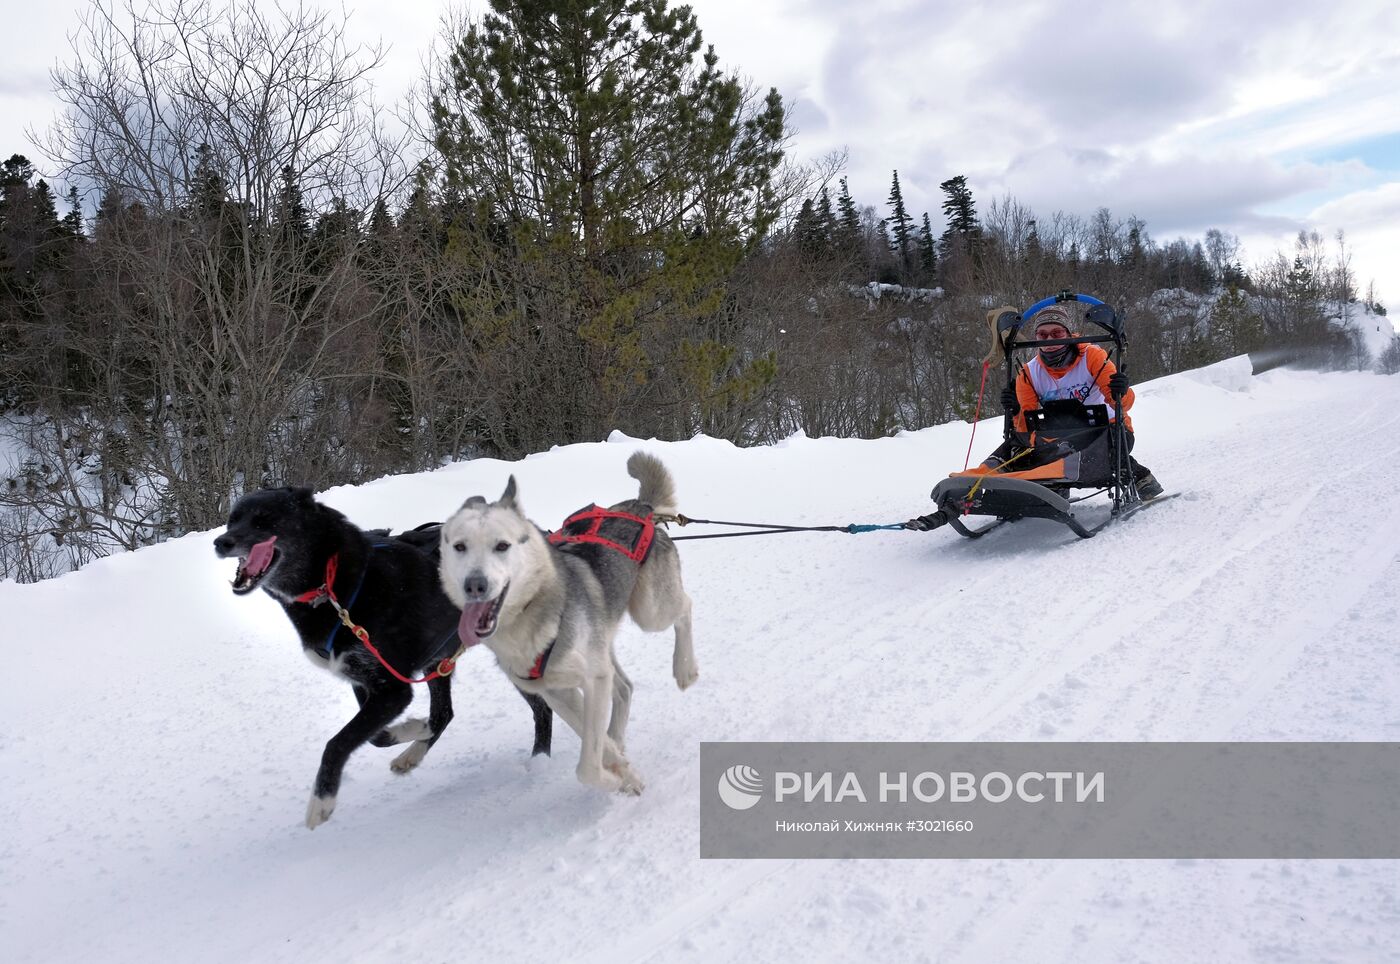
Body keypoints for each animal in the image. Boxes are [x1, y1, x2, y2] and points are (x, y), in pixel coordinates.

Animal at [212, 489, 551, 828]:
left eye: (264, 520)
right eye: (232, 520)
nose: (221, 542)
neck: (331, 583)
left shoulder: (393, 689)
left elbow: (337, 742)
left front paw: (322, 801)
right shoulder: (364, 680)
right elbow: (376, 736)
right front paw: (415, 727)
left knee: (541, 708)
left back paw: (540, 761)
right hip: (438, 661)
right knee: (444, 713)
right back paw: (413, 753)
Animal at [439, 456, 697, 794]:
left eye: (502, 546)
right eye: (460, 547)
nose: (475, 585)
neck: (532, 617)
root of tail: (638, 507)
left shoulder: (593, 678)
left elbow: (587, 767)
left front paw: (616, 777)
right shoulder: (555, 691)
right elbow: (596, 741)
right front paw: (624, 773)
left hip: (650, 611)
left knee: (685, 608)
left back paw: (685, 669)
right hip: (604, 642)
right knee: (624, 688)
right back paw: (618, 739)